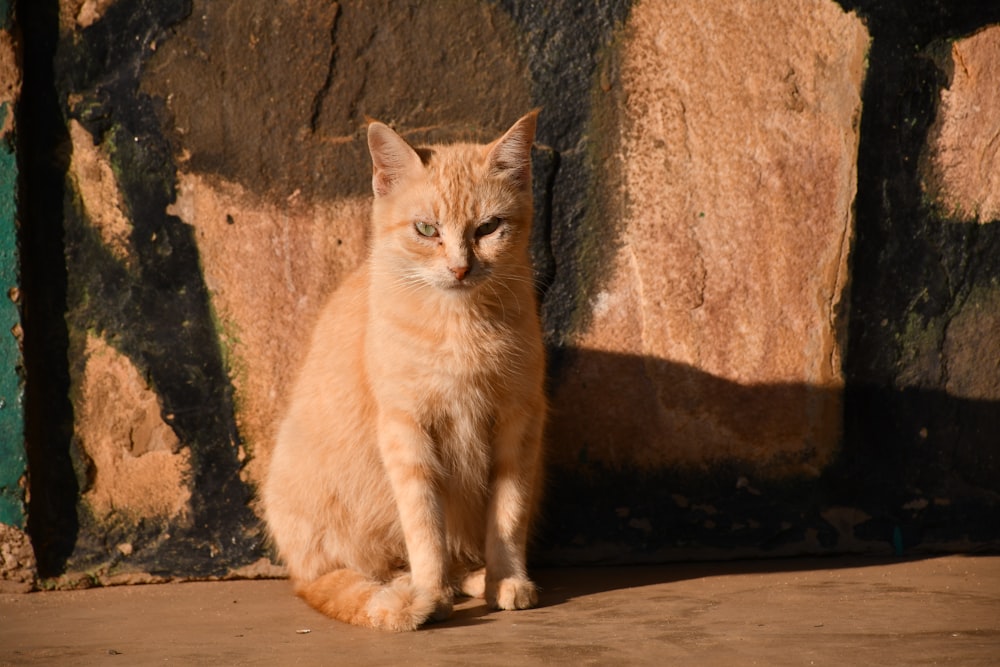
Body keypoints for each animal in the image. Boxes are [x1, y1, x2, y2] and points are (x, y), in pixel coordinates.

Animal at [262, 109, 548, 632]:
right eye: (426, 229)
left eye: (488, 228)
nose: (460, 268)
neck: (460, 325)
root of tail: (302, 573)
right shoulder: (406, 429)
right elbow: (424, 525)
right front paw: (430, 594)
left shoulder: (519, 423)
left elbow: (507, 514)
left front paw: (507, 578)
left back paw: (474, 577)